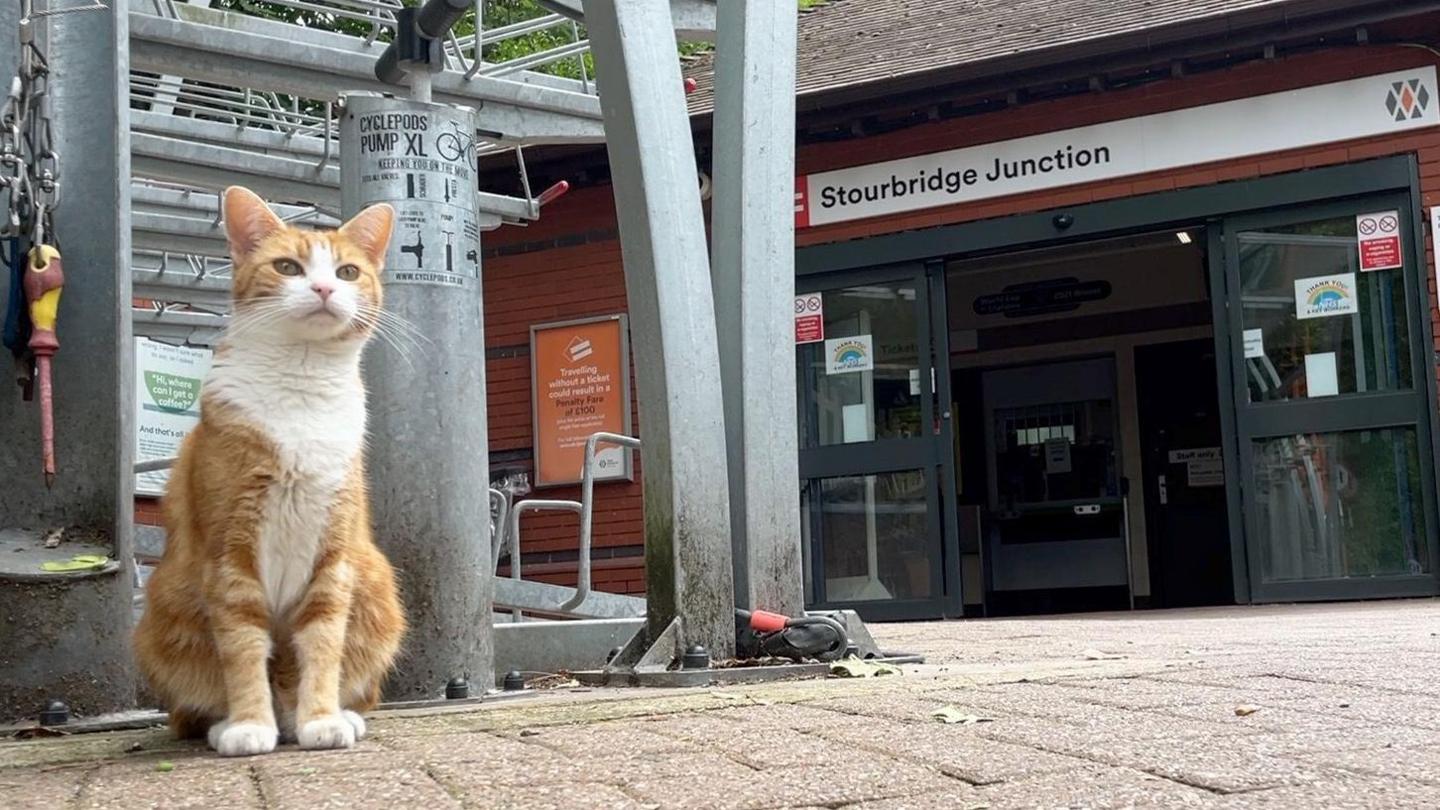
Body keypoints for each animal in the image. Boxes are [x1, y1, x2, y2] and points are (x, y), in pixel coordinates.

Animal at [134, 185, 406, 755]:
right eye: (287, 267)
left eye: (347, 272)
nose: (323, 287)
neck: (299, 384)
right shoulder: (229, 554)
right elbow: (241, 648)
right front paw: (249, 725)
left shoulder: (333, 556)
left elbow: (322, 644)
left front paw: (321, 718)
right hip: (163, 610)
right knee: (191, 709)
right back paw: (230, 724)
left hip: (376, 584)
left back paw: (331, 715)